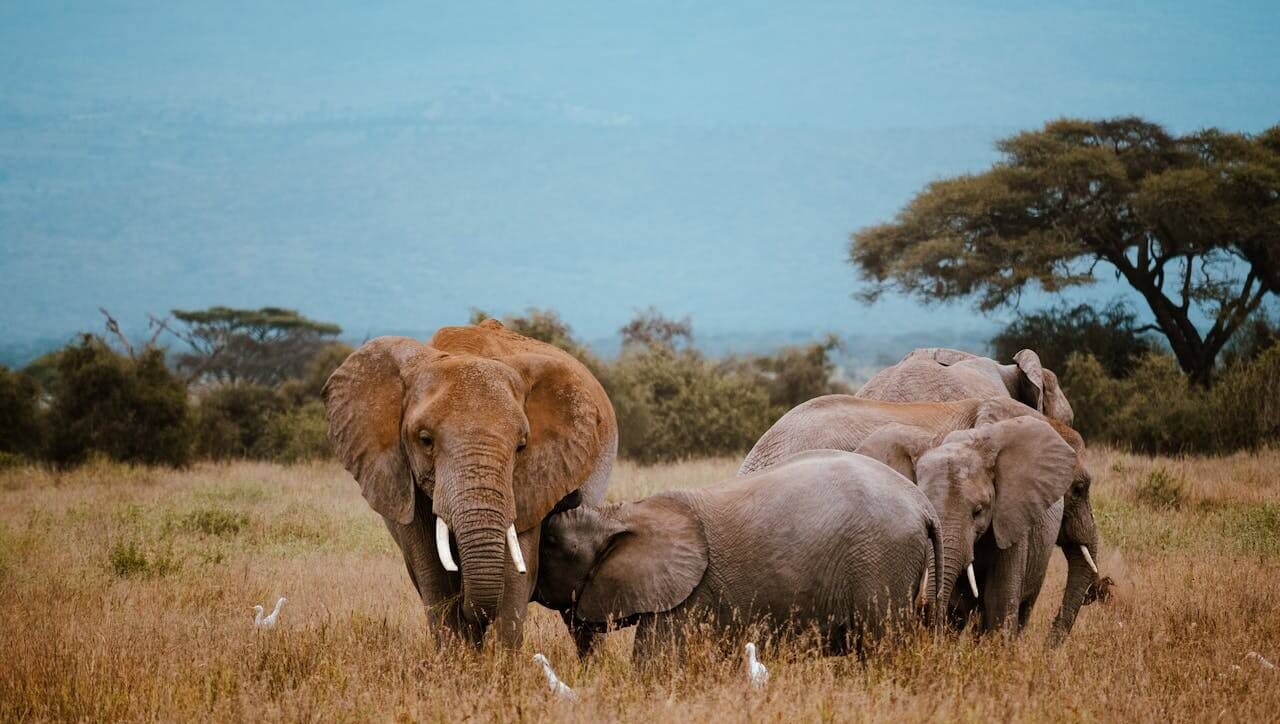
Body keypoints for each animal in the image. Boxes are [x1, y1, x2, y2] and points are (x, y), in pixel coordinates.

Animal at [322, 319, 617, 648]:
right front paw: (456, 657)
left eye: (521, 446)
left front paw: (499, 660)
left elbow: (514, 576)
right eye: (424, 440)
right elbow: (434, 576)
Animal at [535, 450, 944, 661]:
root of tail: (924, 506)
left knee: (883, 643)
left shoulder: (686, 597)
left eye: (551, 544)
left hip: (880, 561)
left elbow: (657, 663)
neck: (619, 515)